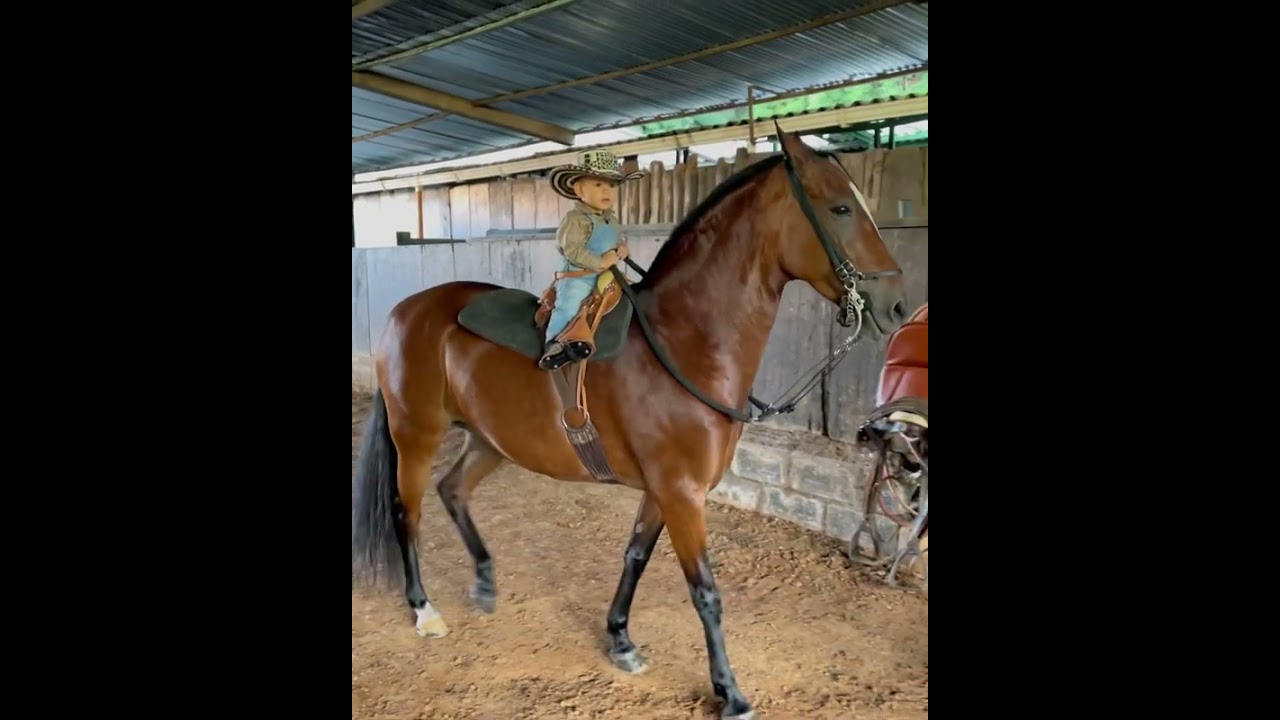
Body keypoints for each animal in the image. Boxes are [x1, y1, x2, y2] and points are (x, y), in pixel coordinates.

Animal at [352, 124, 910, 720]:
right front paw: (730, 693)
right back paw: (423, 608)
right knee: (407, 512)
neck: (682, 343)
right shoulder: (682, 493)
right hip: (416, 436)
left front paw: (619, 638)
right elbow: (705, 591)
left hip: (490, 441)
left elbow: (636, 557)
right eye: (840, 208)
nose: (899, 306)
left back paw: (483, 582)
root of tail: (405, 312)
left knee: (453, 490)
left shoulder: (664, 491)